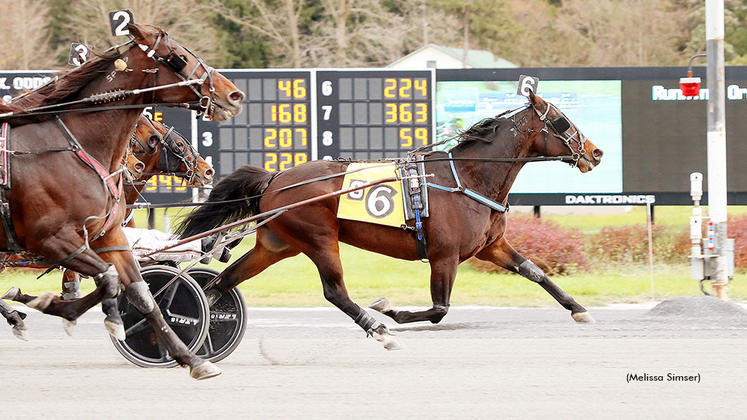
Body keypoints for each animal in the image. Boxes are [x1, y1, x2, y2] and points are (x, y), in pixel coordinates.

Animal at [0, 21, 244, 378]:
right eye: (179, 57)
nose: (233, 94)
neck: (73, 147)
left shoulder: (109, 237)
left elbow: (139, 291)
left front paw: (192, 358)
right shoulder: (53, 240)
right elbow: (109, 280)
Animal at [178, 90, 604, 350]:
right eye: (562, 121)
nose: (596, 152)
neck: (468, 178)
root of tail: (274, 177)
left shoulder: (491, 247)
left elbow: (535, 271)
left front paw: (579, 309)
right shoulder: (445, 256)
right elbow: (439, 309)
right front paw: (389, 311)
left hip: (276, 244)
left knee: (221, 282)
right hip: (318, 239)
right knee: (335, 292)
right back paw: (379, 329)